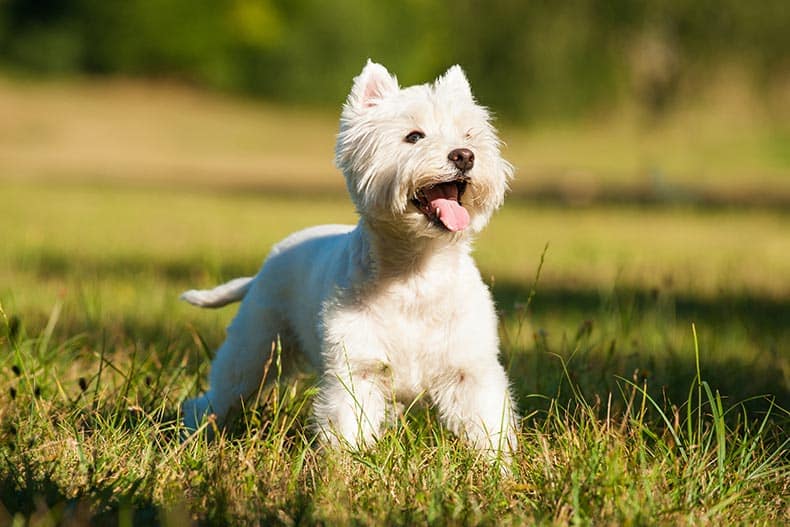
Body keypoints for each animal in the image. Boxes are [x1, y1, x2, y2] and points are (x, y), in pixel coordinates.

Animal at [183, 60, 524, 458]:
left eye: (470, 134)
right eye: (414, 136)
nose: (464, 155)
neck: (416, 272)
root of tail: (266, 265)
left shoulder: (469, 370)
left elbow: (487, 427)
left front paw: (496, 467)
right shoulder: (356, 370)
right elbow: (348, 429)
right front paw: (346, 468)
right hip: (255, 348)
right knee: (216, 397)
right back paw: (193, 433)